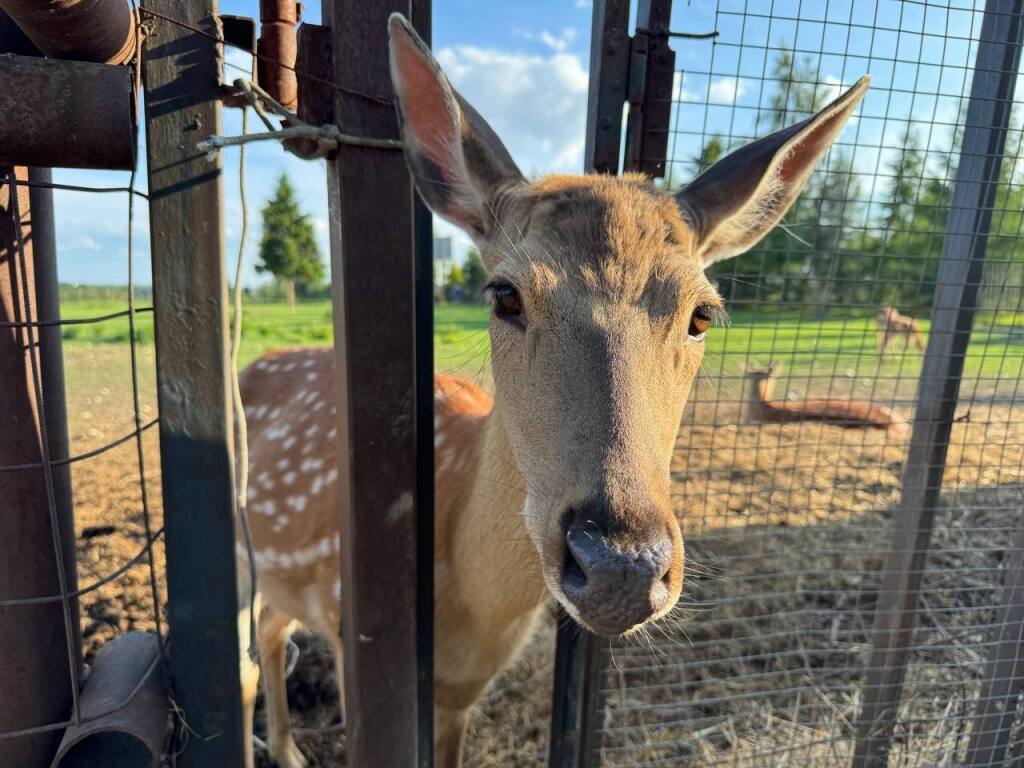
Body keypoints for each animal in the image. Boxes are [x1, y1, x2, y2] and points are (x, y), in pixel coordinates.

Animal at [234, 15, 872, 768]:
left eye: (704, 313)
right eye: (504, 293)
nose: (622, 567)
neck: (468, 608)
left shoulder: (465, 690)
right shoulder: (349, 628)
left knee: (272, 629)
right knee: (251, 650)